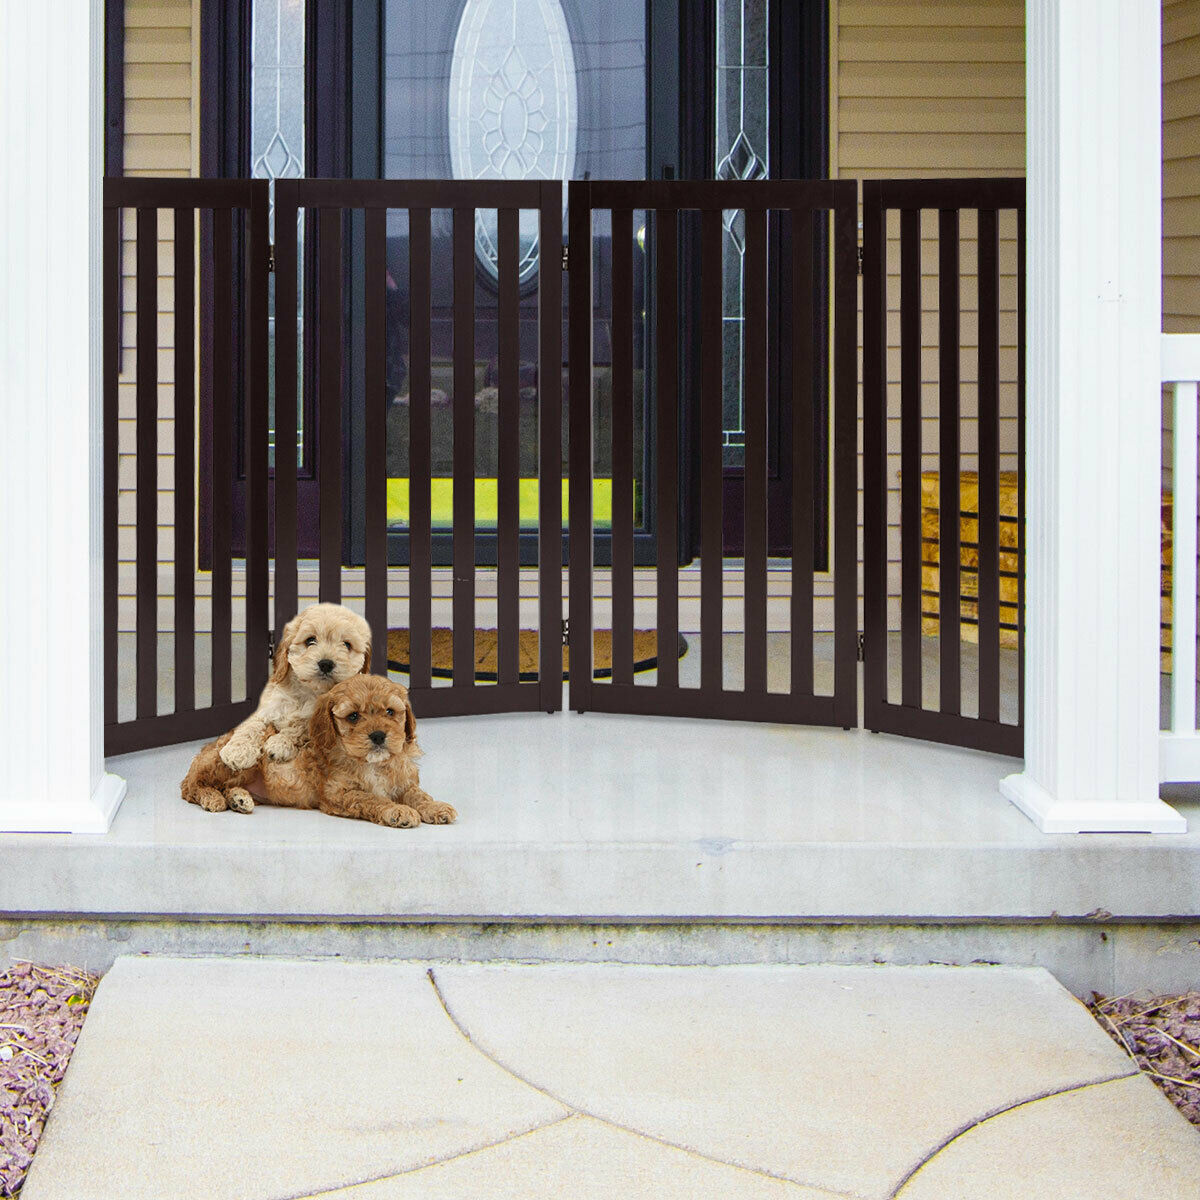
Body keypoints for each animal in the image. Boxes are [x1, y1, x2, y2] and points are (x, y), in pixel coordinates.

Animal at [218, 600, 372, 768]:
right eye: (310, 640)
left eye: (347, 645)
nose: (325, 664)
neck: (306, 692)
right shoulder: (268, 707)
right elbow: (251, 724)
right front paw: (238, 750)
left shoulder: (317, 721)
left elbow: (299, 726)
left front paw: (280, 744)